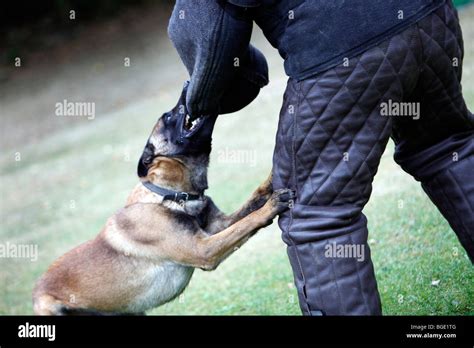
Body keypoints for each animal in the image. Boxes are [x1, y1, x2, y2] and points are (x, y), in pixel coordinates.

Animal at [33, 85, 292, 316]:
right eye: (168, 116)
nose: (188, 84)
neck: (170, 195)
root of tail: (35, 292)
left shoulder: (218, 226)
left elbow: (251, 204)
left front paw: (271, 179)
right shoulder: (203, 249)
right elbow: (248, 222)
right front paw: (272, 205)